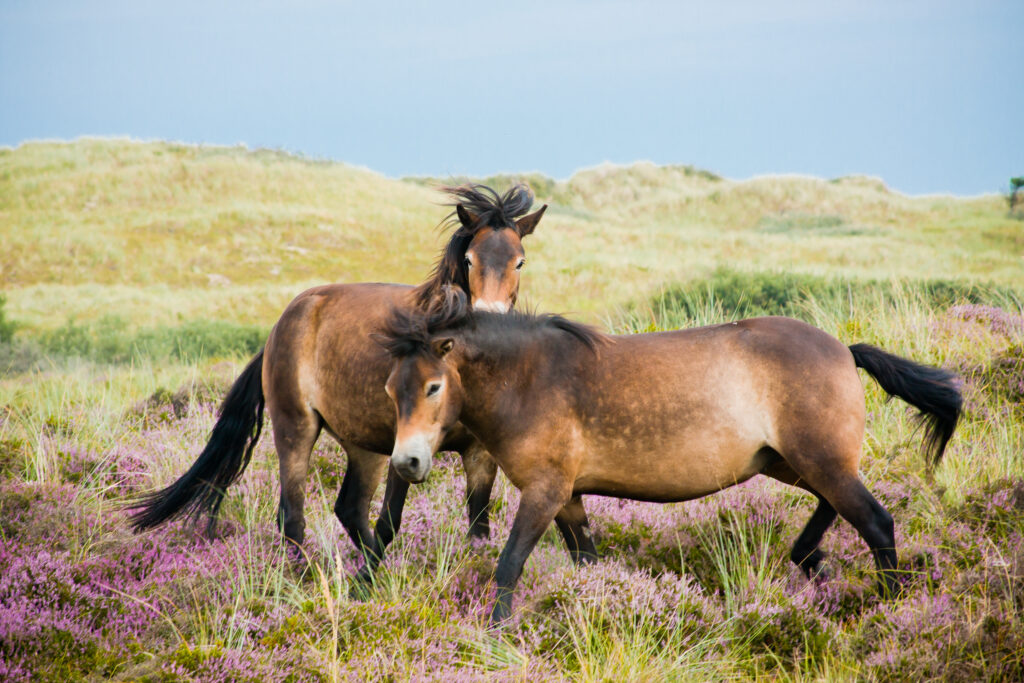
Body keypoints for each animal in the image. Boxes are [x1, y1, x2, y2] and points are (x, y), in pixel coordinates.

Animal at [130, 184, 593, 581]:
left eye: (519, 261)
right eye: (469, 260)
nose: (489, 317)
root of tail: (283, 323)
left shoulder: (479, 454)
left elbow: (477, 528)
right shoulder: (405, 450)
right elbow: (390, 520)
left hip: (362, 445)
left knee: (348, 509)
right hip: (297, 427)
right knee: (293, 515)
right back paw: (311, 577)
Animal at [380, 290, 962, 622]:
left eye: (433, 387)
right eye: (390, 389)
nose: (407, 464)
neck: (532, 379)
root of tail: (844, 349)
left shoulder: (544, 493)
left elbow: (508, 566)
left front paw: (496, 632)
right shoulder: (567, 497)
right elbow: (587, 562)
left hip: (818, 461)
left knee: (876, 521)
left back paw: (889, 609)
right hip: (793, 462)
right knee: (835, 507)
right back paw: (808, 558)